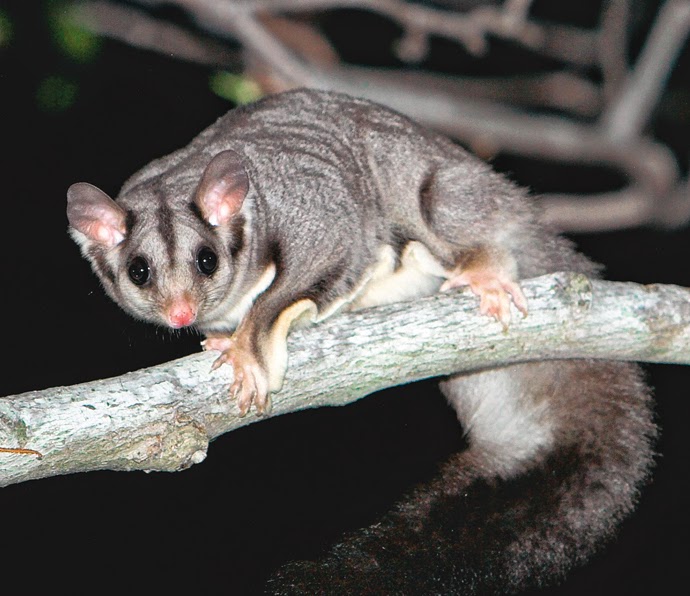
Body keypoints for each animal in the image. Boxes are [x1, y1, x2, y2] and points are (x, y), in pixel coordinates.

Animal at [67, 88, 655, 594]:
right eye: (140, 271)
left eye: (206, 260)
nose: (182, 310)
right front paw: (219, 338)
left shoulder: (316, 213)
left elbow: (309, 269)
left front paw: (248, 346)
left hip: (466, 197)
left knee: (437, 201)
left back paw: (484, 267)